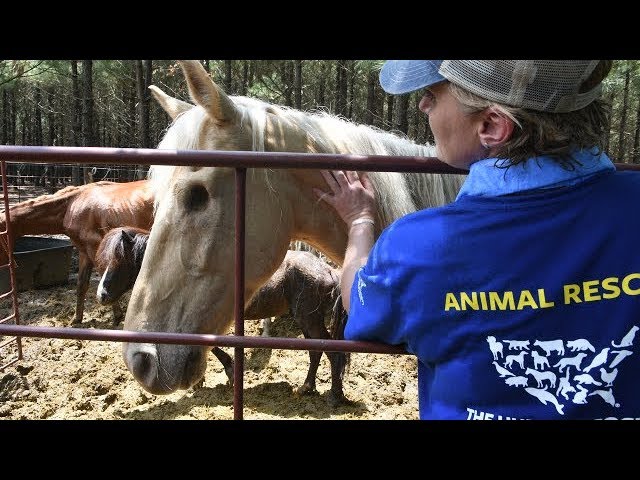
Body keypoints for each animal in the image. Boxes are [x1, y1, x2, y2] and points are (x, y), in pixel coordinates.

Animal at [0, 182, 154, 324]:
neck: (72, 203)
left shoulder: (94, 249)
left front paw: (117, 315)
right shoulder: (84, 252)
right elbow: (81, 285)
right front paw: (76, 319)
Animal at [94, 227, 350, 404]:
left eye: (119, 262)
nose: (101, 295)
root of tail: (328, 269)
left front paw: (229, 373)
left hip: (308, 318)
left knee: (330, 352)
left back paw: (335, 396)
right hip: (307, 319)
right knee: (316, 351)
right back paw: (307, 388)